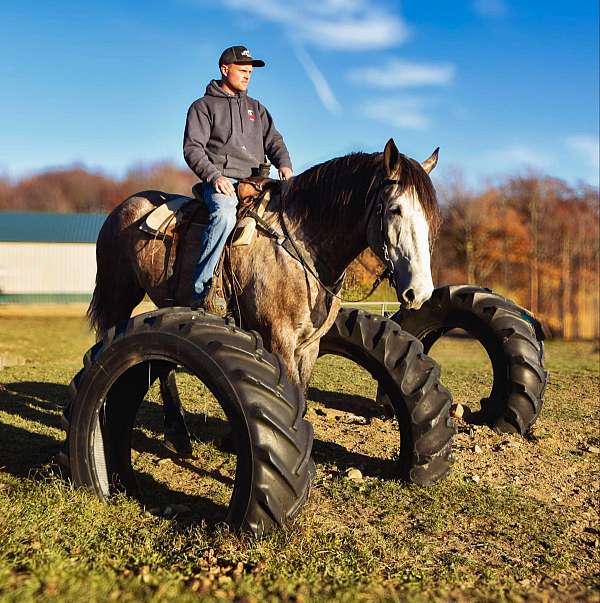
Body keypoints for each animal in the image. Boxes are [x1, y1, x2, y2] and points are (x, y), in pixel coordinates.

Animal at [88, 139, 440, 456]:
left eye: (430, 218)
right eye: (395, 209)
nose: (419, 292)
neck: (301, 246)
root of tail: (123, 208)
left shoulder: (309, 346)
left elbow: (300, 394)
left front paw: (234, 440)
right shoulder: (279, 338)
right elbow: (292, 398)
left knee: (163, 365)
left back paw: (179, 434)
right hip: (120, 297)